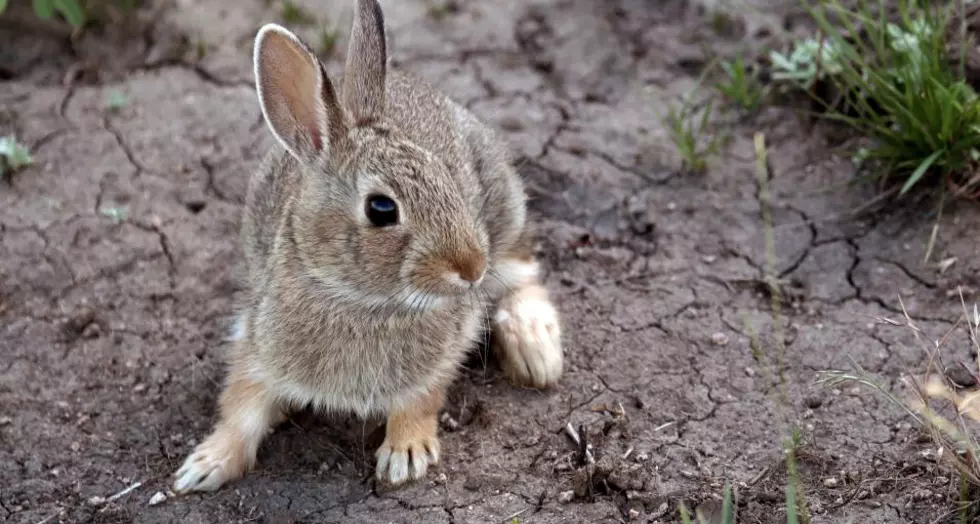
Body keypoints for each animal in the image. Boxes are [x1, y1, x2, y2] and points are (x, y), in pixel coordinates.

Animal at [172, 0, 564, 492]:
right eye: (381, 209)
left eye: (446, 177)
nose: (472, 267)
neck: (359, 300)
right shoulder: (259, 344)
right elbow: (241, 407)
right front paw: (203, 467)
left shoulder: (441, 353)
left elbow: (421, 399)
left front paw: (405, 455)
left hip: (504, 210)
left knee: (521, 274)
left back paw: (537, 353)